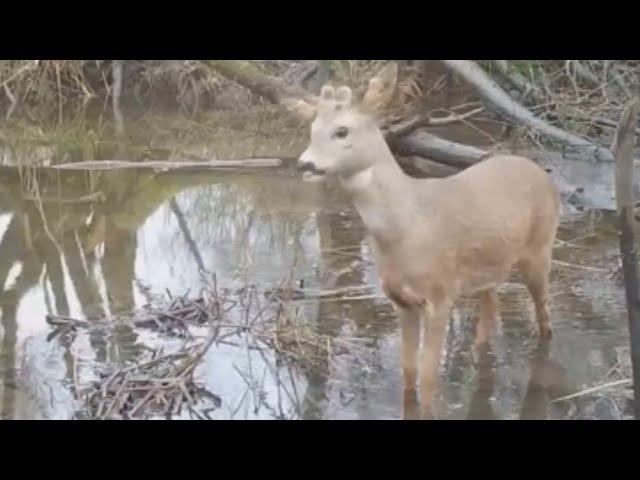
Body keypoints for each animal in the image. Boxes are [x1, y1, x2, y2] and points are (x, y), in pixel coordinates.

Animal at [290, 62, 560, 418]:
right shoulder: (401, 300)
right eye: (312, 129)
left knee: (545, 318)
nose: (304, 163)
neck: (407, 227)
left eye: (342, 130)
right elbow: (408, 371)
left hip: (540, 249)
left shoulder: (440, 295)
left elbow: (429, 377)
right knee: (491, 311)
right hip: (489, 268)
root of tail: (542, 173)